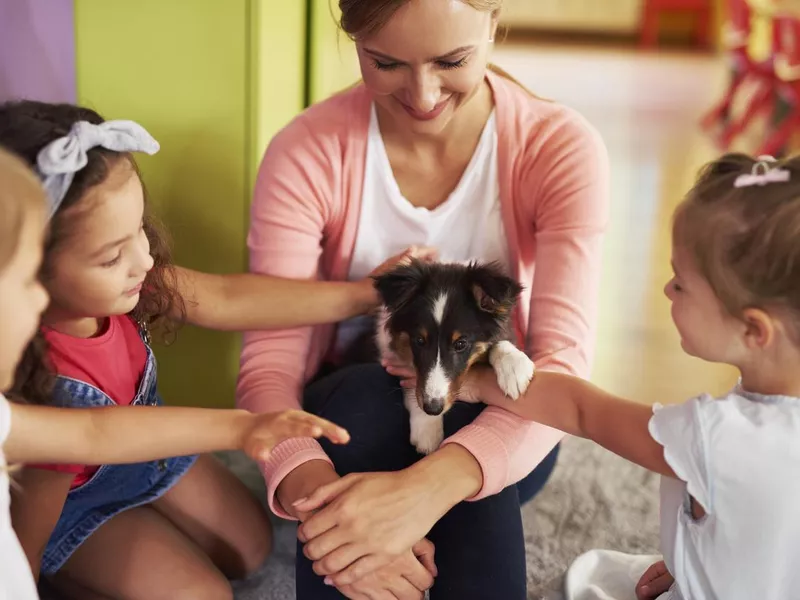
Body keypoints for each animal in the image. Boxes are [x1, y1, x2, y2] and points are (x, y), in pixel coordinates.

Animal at [372, 258, 536, 454]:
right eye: (419, 340)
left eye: (460, 344)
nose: (433, 408)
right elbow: (413, 382)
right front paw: (427, 428)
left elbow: (500, 343)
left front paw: (514, 368)